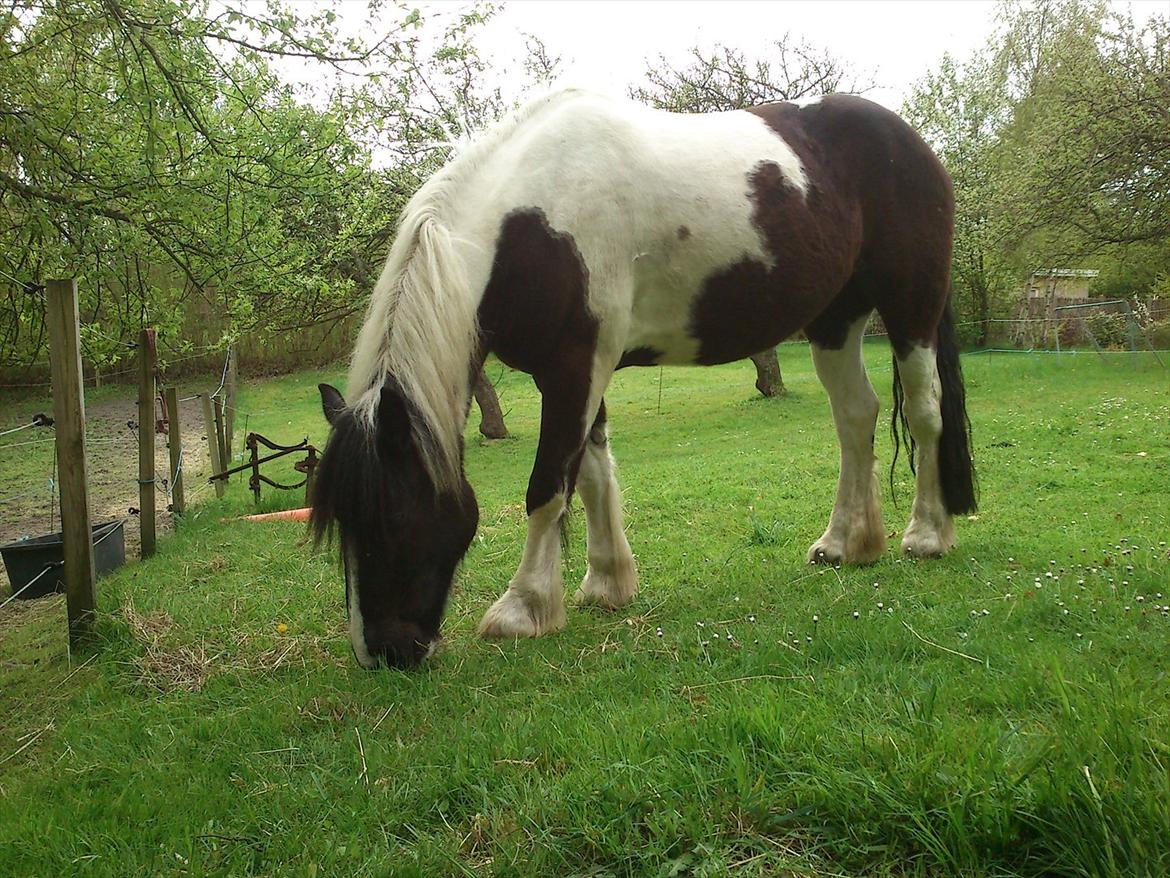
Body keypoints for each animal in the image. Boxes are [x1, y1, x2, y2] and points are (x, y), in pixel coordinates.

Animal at [313, 87, 978, 664]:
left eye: (391, 518)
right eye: (343, 522)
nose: (383, 653)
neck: (528, 225)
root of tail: (914, 144)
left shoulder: (574, 366)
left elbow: (548, 486)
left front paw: (523, 608)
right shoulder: (580, 370)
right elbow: (591, 474)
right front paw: (606, 583)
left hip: (911, 306)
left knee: (925, 412)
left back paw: (926, 534)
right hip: (835, 321)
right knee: (856, 417)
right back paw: (846, 545)